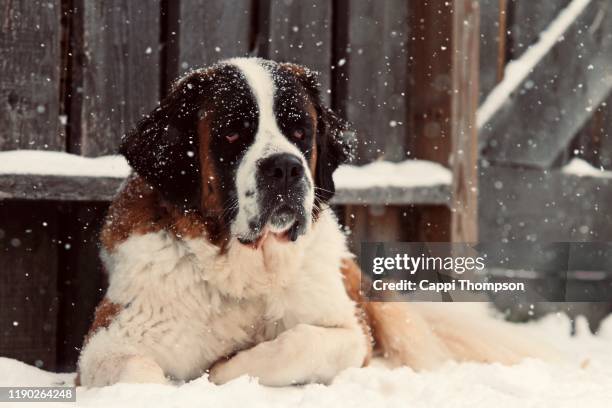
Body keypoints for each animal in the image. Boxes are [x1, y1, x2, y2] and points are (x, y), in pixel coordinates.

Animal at [76, 56, 548, 386]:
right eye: (232, 133)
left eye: (300, 132)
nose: (285, 167)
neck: (247, 273)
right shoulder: (107, 344)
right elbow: (137, 371)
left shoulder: (349, 332)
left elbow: (299, 342)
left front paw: (225, 370)